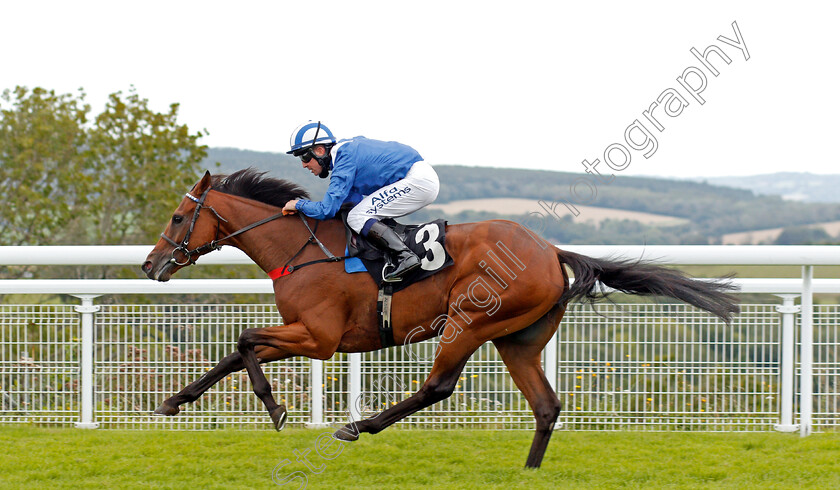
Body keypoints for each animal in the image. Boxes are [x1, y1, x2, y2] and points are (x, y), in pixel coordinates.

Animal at [141, 168, 740, 468]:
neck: (302, 247)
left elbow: (243, 341)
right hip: (518, 340)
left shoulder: (320, 338)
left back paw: (357, 426)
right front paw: (174, 401)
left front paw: (275, 407)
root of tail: (551, 251)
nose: (150, 264)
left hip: (469, 322)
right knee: (546, 405)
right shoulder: (304, 335)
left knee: (439, 386)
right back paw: (527, 473)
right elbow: (233, 354)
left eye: (177, 216)